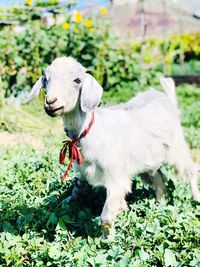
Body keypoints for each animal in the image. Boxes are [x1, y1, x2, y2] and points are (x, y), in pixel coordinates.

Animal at [27, 56, 200, 239]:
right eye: (45, 79)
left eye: (77, 80)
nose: (51, 103)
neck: (89, 132)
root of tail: (166, 97)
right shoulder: (83, 174)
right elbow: (75, 193)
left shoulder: (115, 177)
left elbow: (106, 217)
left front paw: (106, 241)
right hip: (148, 162)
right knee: (159, 180)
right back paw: (158, 205)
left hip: (177, 149)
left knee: (189, 172)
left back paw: (195, 200)